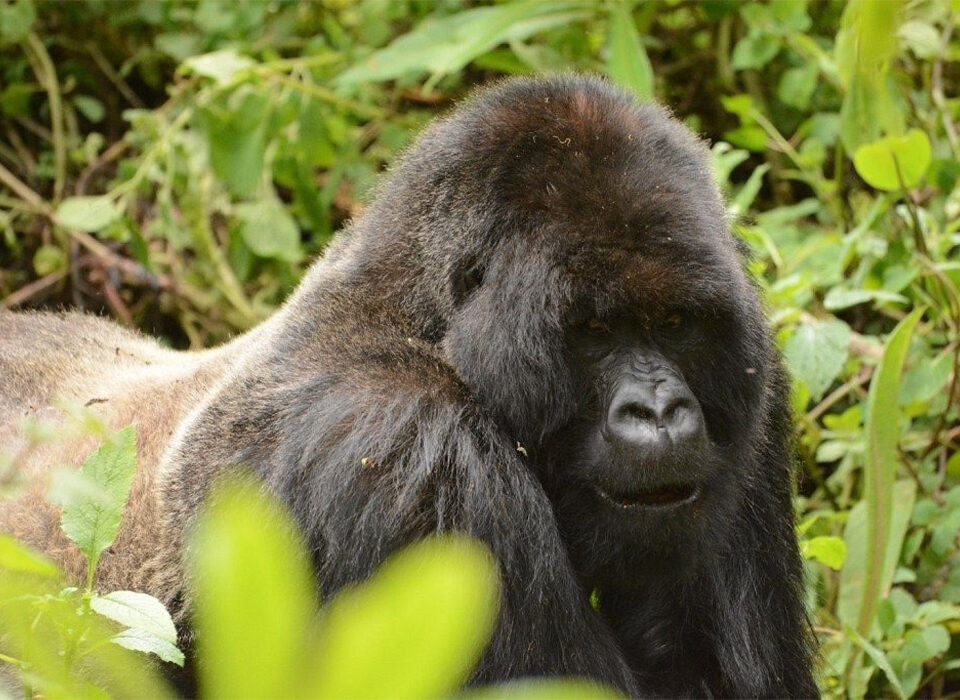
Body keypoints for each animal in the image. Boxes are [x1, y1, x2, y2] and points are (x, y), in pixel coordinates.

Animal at [0, 75, 816, 697]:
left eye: (677, 322)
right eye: (594, 331)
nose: (658, 410)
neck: (420, 322)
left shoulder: (753, 397)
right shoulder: (414, 454)